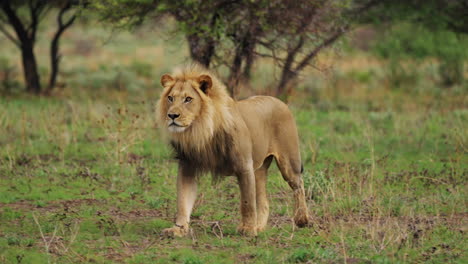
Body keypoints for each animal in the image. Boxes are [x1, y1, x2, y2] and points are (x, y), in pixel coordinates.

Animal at [157, 64, 308, 237]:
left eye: (188, 99)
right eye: (170, 98)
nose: (172, 115)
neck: (200, 130)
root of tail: (278, 100)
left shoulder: (244, 166)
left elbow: (247, 202)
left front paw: (248, 229)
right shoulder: (187, 167)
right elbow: (183, 201)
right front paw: (178, 229)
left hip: (288, 161)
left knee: (298, 185)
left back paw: (302, 220)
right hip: (259, 169)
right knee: (264, 202)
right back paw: (259, 227)